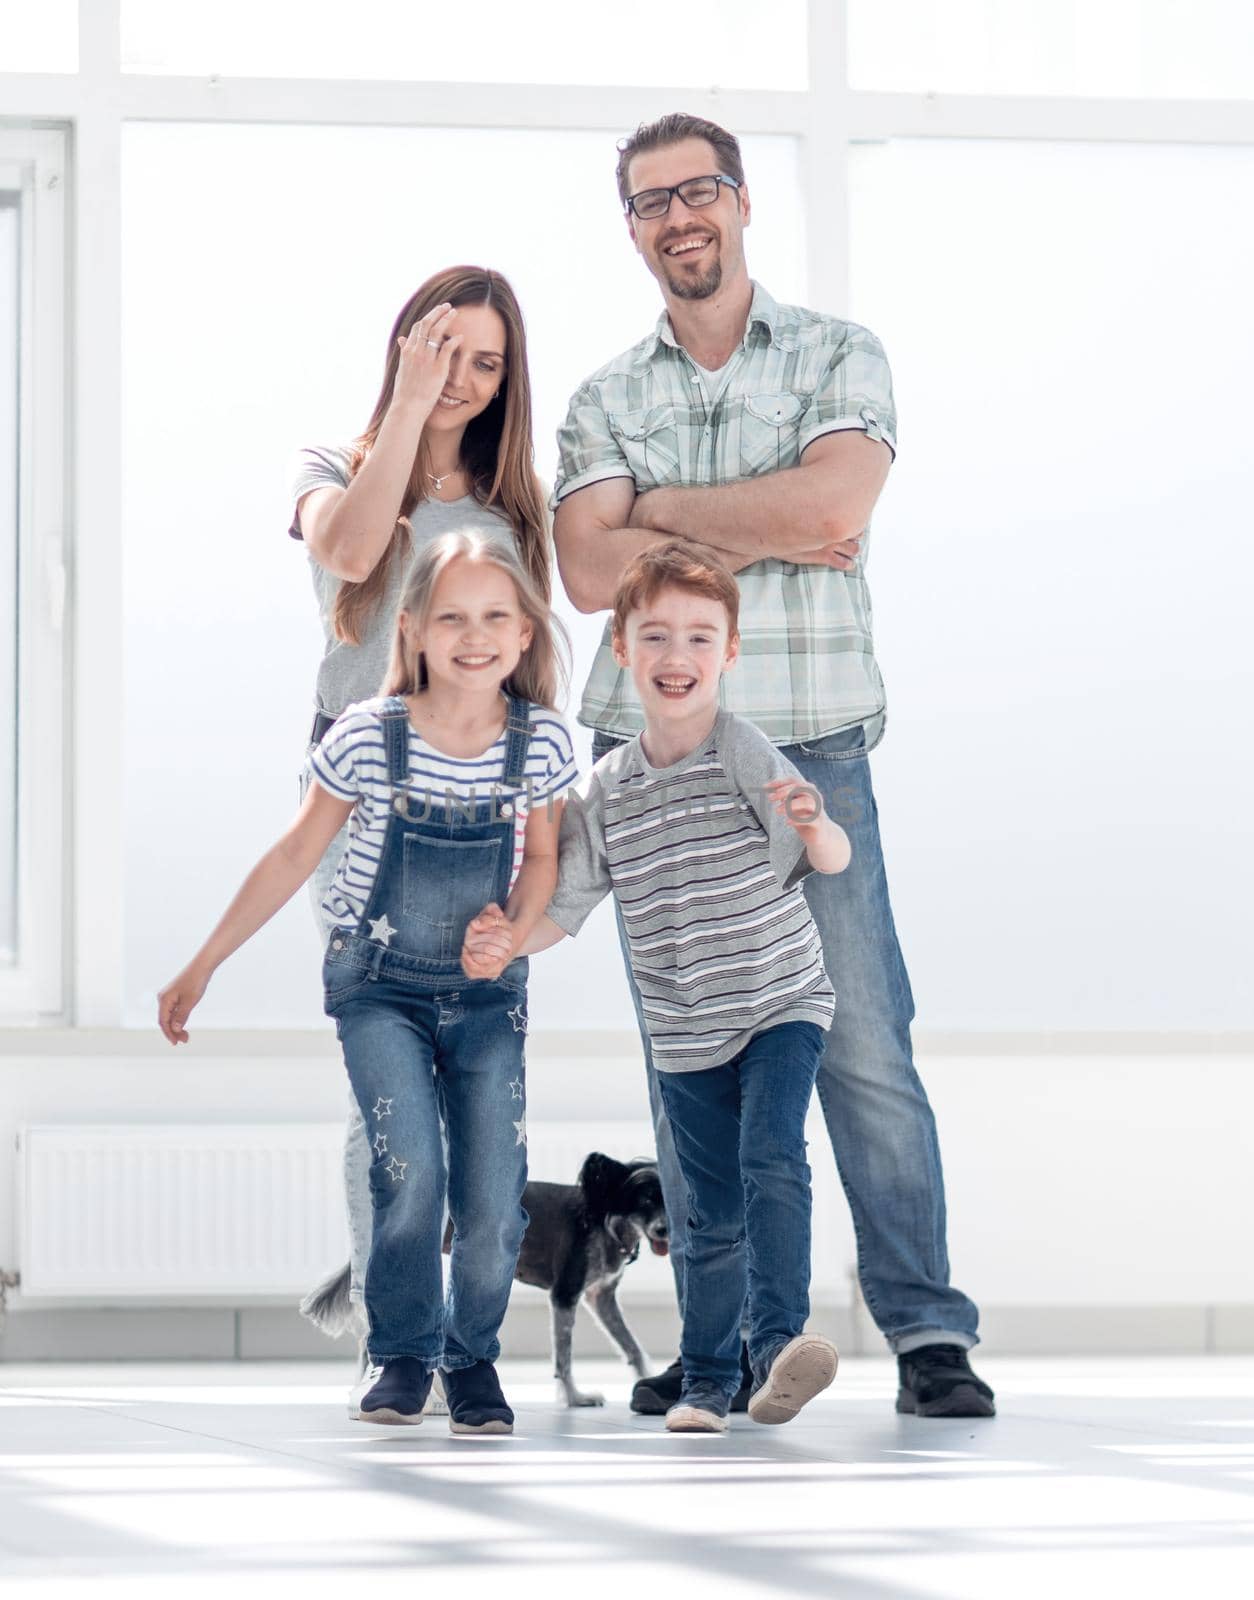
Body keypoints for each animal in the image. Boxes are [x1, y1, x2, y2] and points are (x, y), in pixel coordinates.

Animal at [300, 1158, 671, 1408]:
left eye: (671, 1201)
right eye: (646, 1200)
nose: (665, 1230)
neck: (603, 1216)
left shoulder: (600, 1297)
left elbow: (632, 1347)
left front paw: (645, 1380)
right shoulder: (564, 1295)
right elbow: (563, 1358)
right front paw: (574, 1397)